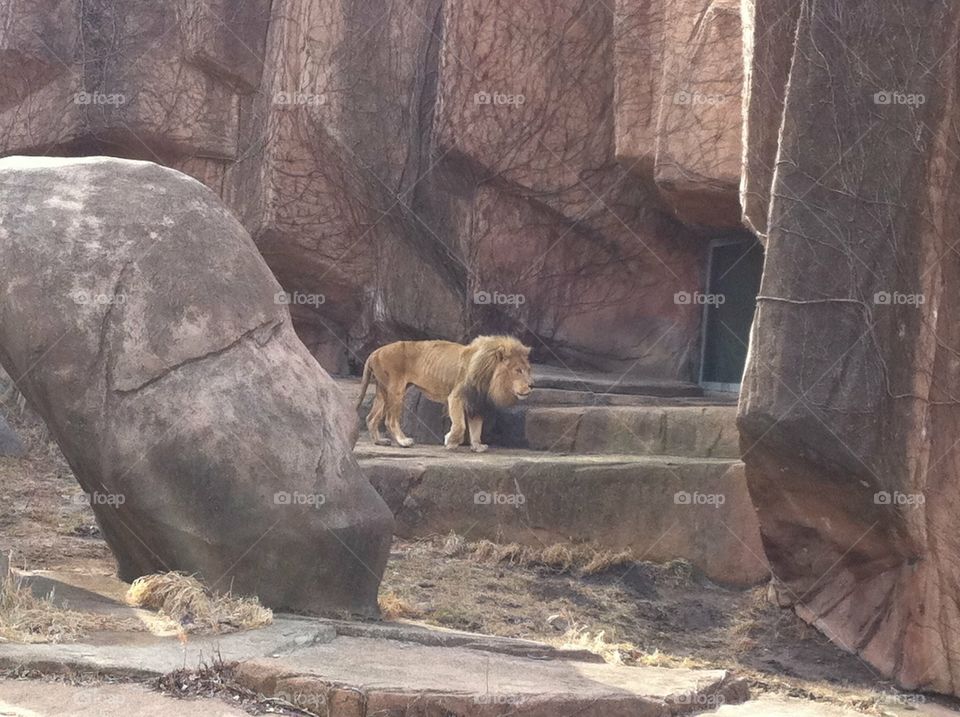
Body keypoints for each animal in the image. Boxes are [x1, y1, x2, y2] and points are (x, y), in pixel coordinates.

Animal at [354, 334, 532, 450]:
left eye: (528, 369)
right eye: (518, 370)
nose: (532, 385)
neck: (489, 377)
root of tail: (374, 352)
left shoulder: (476, 401)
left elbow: (476, 427)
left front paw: (477, 446)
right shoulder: (456, 396)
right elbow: (460, 425)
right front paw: (450, 441)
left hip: (382, 390)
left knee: (371, 417)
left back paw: (379, 441)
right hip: (395, 390)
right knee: (390, 420)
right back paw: (403, 441)